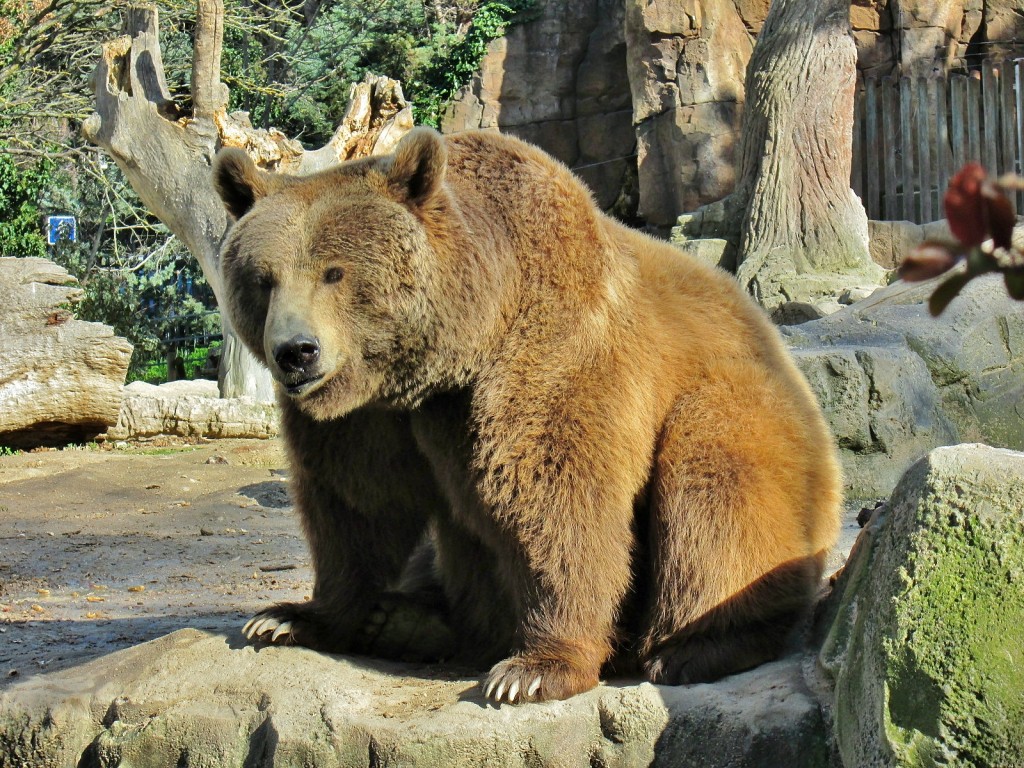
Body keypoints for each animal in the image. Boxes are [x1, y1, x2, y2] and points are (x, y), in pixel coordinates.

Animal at [211, 126, 843, 704]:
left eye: (335, 272)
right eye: (263, 278)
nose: (296, 352)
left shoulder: (552, 356)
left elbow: (556, 500)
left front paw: (534, 669)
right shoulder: (367, 417)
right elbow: (359, 505)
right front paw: (292, 616)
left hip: (743, 411)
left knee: (717, 492)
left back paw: (698, 646)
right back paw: (403, 620)